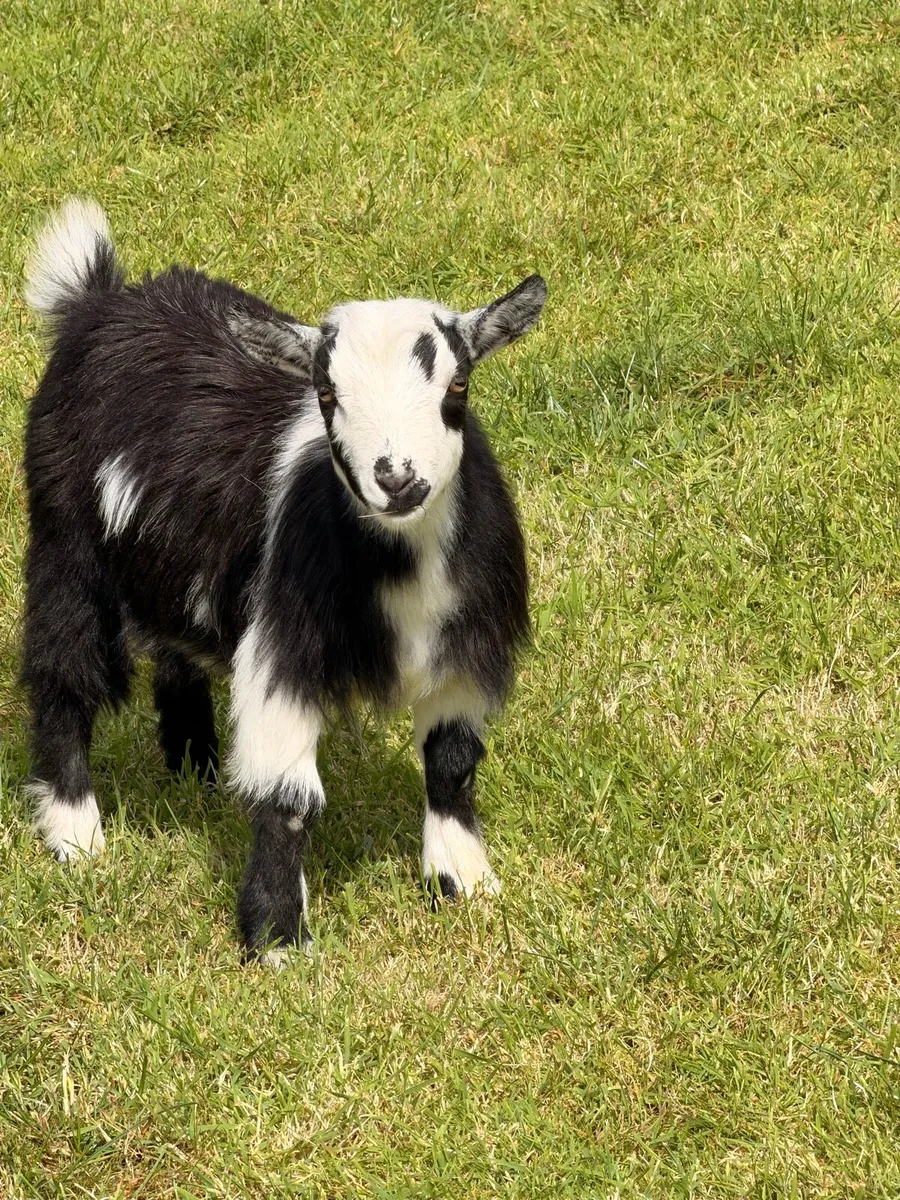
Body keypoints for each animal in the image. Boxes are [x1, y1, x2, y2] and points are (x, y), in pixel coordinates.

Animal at [21, 198, 546, 962]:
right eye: (326, 394)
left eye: (457, 385)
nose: (397, 479)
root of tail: (99, 299)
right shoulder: (283, 645)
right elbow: (287, 800)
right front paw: (276, 938)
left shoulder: (466, 645)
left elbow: (452, 761)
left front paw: (465, 884)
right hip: (64, 540)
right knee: (63, 669)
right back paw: (76, 835)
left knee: (177, 648)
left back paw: (195, 766)